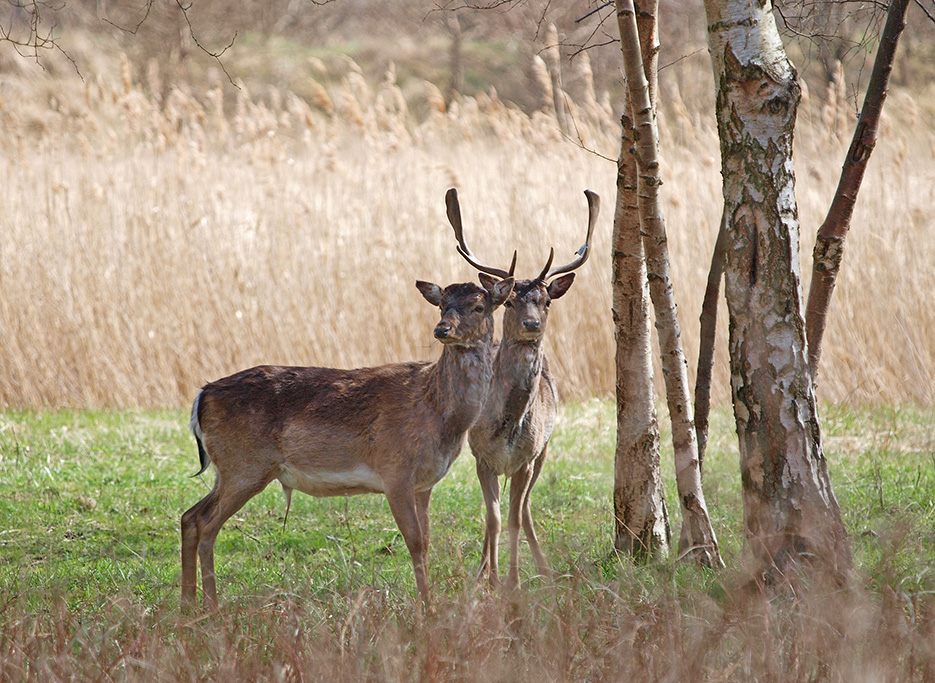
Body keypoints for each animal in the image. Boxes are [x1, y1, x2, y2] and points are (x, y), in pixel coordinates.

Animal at [181, 216, 520, 608]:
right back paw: (210, 606)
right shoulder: (394, 471)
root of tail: (202, 394)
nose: (442, 329)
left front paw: (428, 604)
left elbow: (427, 541)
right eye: (442, 305)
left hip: (228, 469)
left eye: (479, 306)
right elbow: (415, 543)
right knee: (206, 524)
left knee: (190, 517)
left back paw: (189, 604)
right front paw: (427, 609)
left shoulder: (424, 482)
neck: (441, 415)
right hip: (245, 465)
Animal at [446, 188, 600, 592]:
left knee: (527, 507)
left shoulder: (526, 458)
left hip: (544, 449)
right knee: (499, 512)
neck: (505, 426)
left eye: (545, 301)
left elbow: (513, 519)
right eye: (512, 300)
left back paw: (545, 569)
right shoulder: (481, 457)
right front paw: (488, 581)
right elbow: (492, 519)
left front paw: (513, 583)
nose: (531, 325)